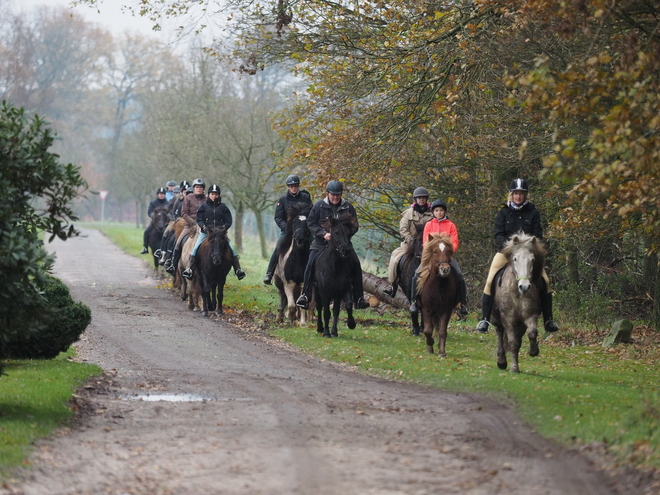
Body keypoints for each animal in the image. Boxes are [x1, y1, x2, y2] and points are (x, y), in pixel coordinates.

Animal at [490, 232, 548, 372]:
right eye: (515, 259)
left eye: (532, 260)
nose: (525, 287)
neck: (517, 293)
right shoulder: (508, 319)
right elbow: (512, 343)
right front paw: (514, 368)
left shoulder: (529, 316)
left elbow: (532, 333)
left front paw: (533, 351)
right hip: (498, 320)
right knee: (500, 334)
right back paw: (501, 361)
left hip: (520, 324)